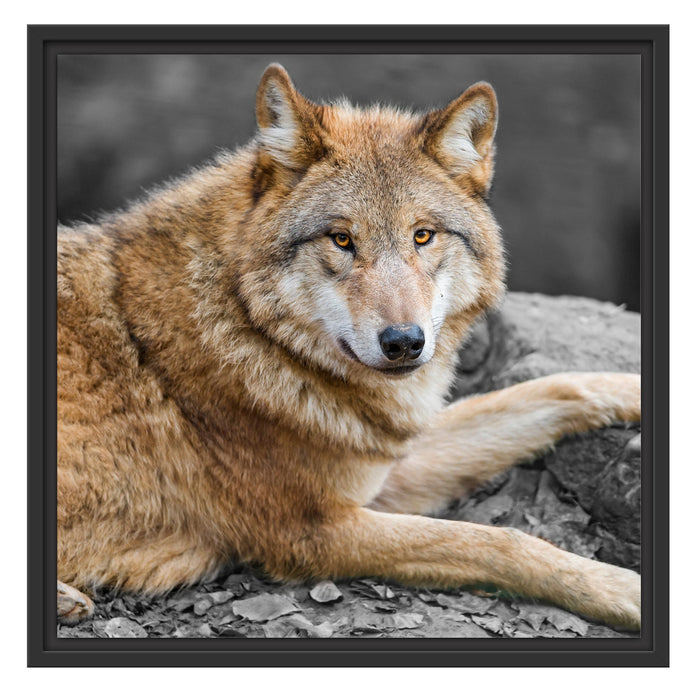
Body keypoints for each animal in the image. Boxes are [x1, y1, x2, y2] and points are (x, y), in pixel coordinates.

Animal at [56, 64, 641, 631]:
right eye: (342, 240)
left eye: (422, 236)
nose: (404, 342)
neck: (247, 325)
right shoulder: (314, 531)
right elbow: (496, 540)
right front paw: (622, 590)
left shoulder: (382, 463)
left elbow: (555, 387)